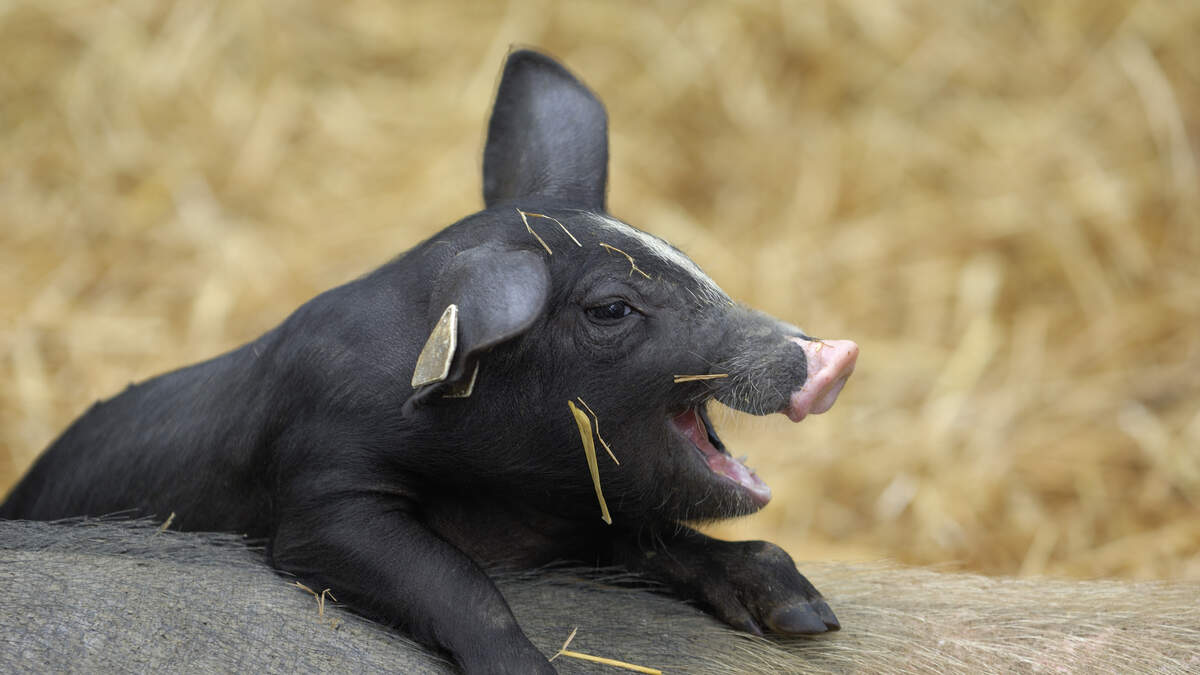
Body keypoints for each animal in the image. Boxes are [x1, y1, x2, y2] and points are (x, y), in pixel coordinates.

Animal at [1, 50, 858, 673]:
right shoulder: (322, 489)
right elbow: (453, 580)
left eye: (687, 259)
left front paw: (808, 614)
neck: (501, 491)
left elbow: (662, 537)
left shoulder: (577, 510)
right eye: (612, 309)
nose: (831, 352)